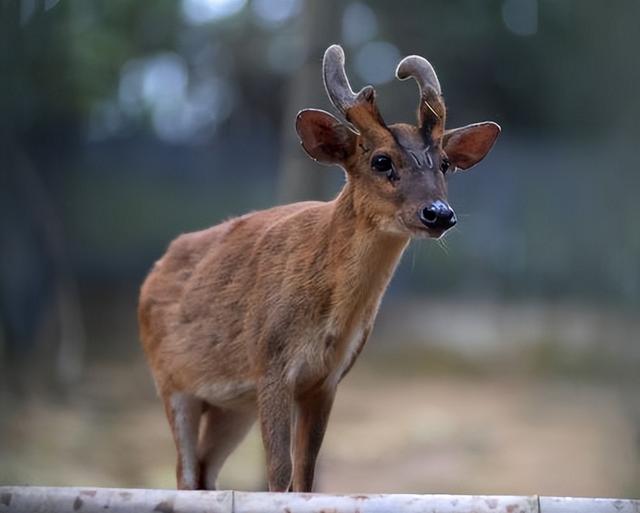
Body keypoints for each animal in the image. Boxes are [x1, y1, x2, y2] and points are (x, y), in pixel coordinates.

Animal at [139, 43, 500, 492]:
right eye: (381, 161)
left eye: (446, 163)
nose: (438, 213)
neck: (328, 319)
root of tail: (153, 273)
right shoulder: (270, 362)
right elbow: (280, 472)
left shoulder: (326, 381)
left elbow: (305, 474)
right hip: (172, 382)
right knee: (186, 472)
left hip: (230, 405)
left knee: (205, 471)